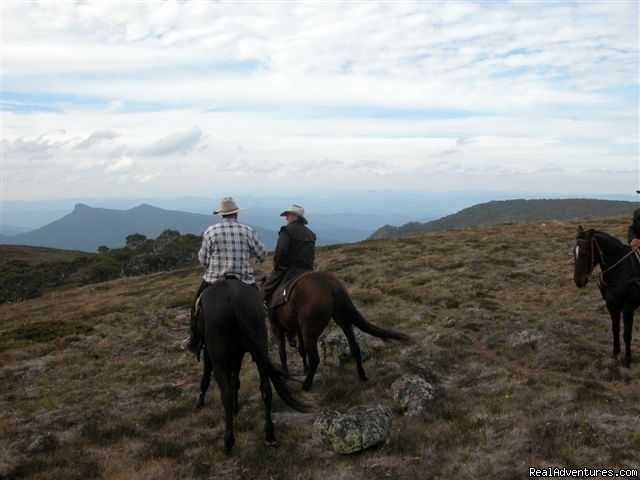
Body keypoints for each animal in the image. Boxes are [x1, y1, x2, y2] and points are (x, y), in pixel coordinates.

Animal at [264, 270, 410, 390]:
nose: (292, 341)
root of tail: (331, 284)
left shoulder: (277, 328)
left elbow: (283, 353)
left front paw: (285, 376)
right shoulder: (298, 330)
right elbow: (301, 350)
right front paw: (304, 369)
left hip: (311, 331)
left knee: (315, 359)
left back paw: (306, 385)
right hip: (342, 319)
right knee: (354, 347)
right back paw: (362, 376)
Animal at [576, 228, 640, 368]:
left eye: (585, 252)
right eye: (574, 252)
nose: (578, 281)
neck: (620, 271)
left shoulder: (628, 308)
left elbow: (627, 334)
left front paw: (627, 360)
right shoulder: (611, 305)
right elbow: (615, 329)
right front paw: (615, 354)